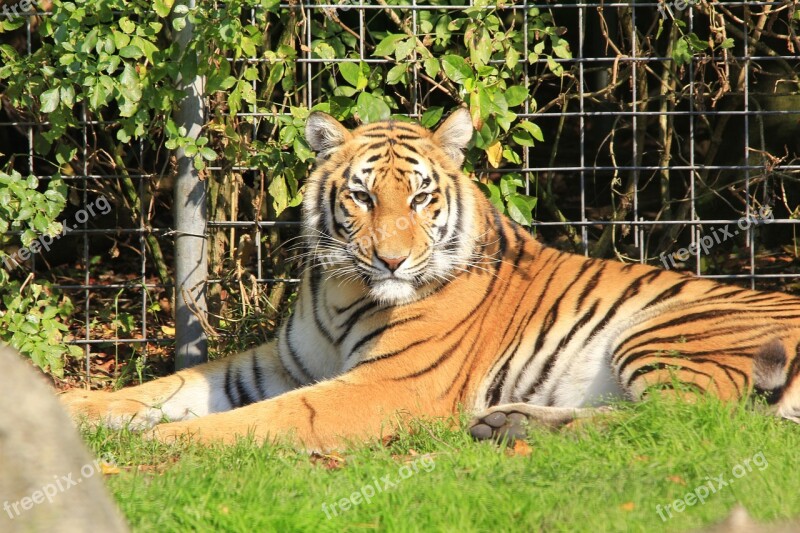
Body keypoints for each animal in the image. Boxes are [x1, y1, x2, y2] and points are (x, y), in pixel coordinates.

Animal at [62, 106, 800, 446]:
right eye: (362, 197)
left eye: (419, 198)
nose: (391, 260)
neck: (343, 291)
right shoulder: (273, 364)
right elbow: (159, 389)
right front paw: (72, 410)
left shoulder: (387, 385)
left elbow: (265, 418)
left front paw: (164, 442)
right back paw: (506, 422)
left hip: (667, 330)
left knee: (688, 422)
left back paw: (512, 427)